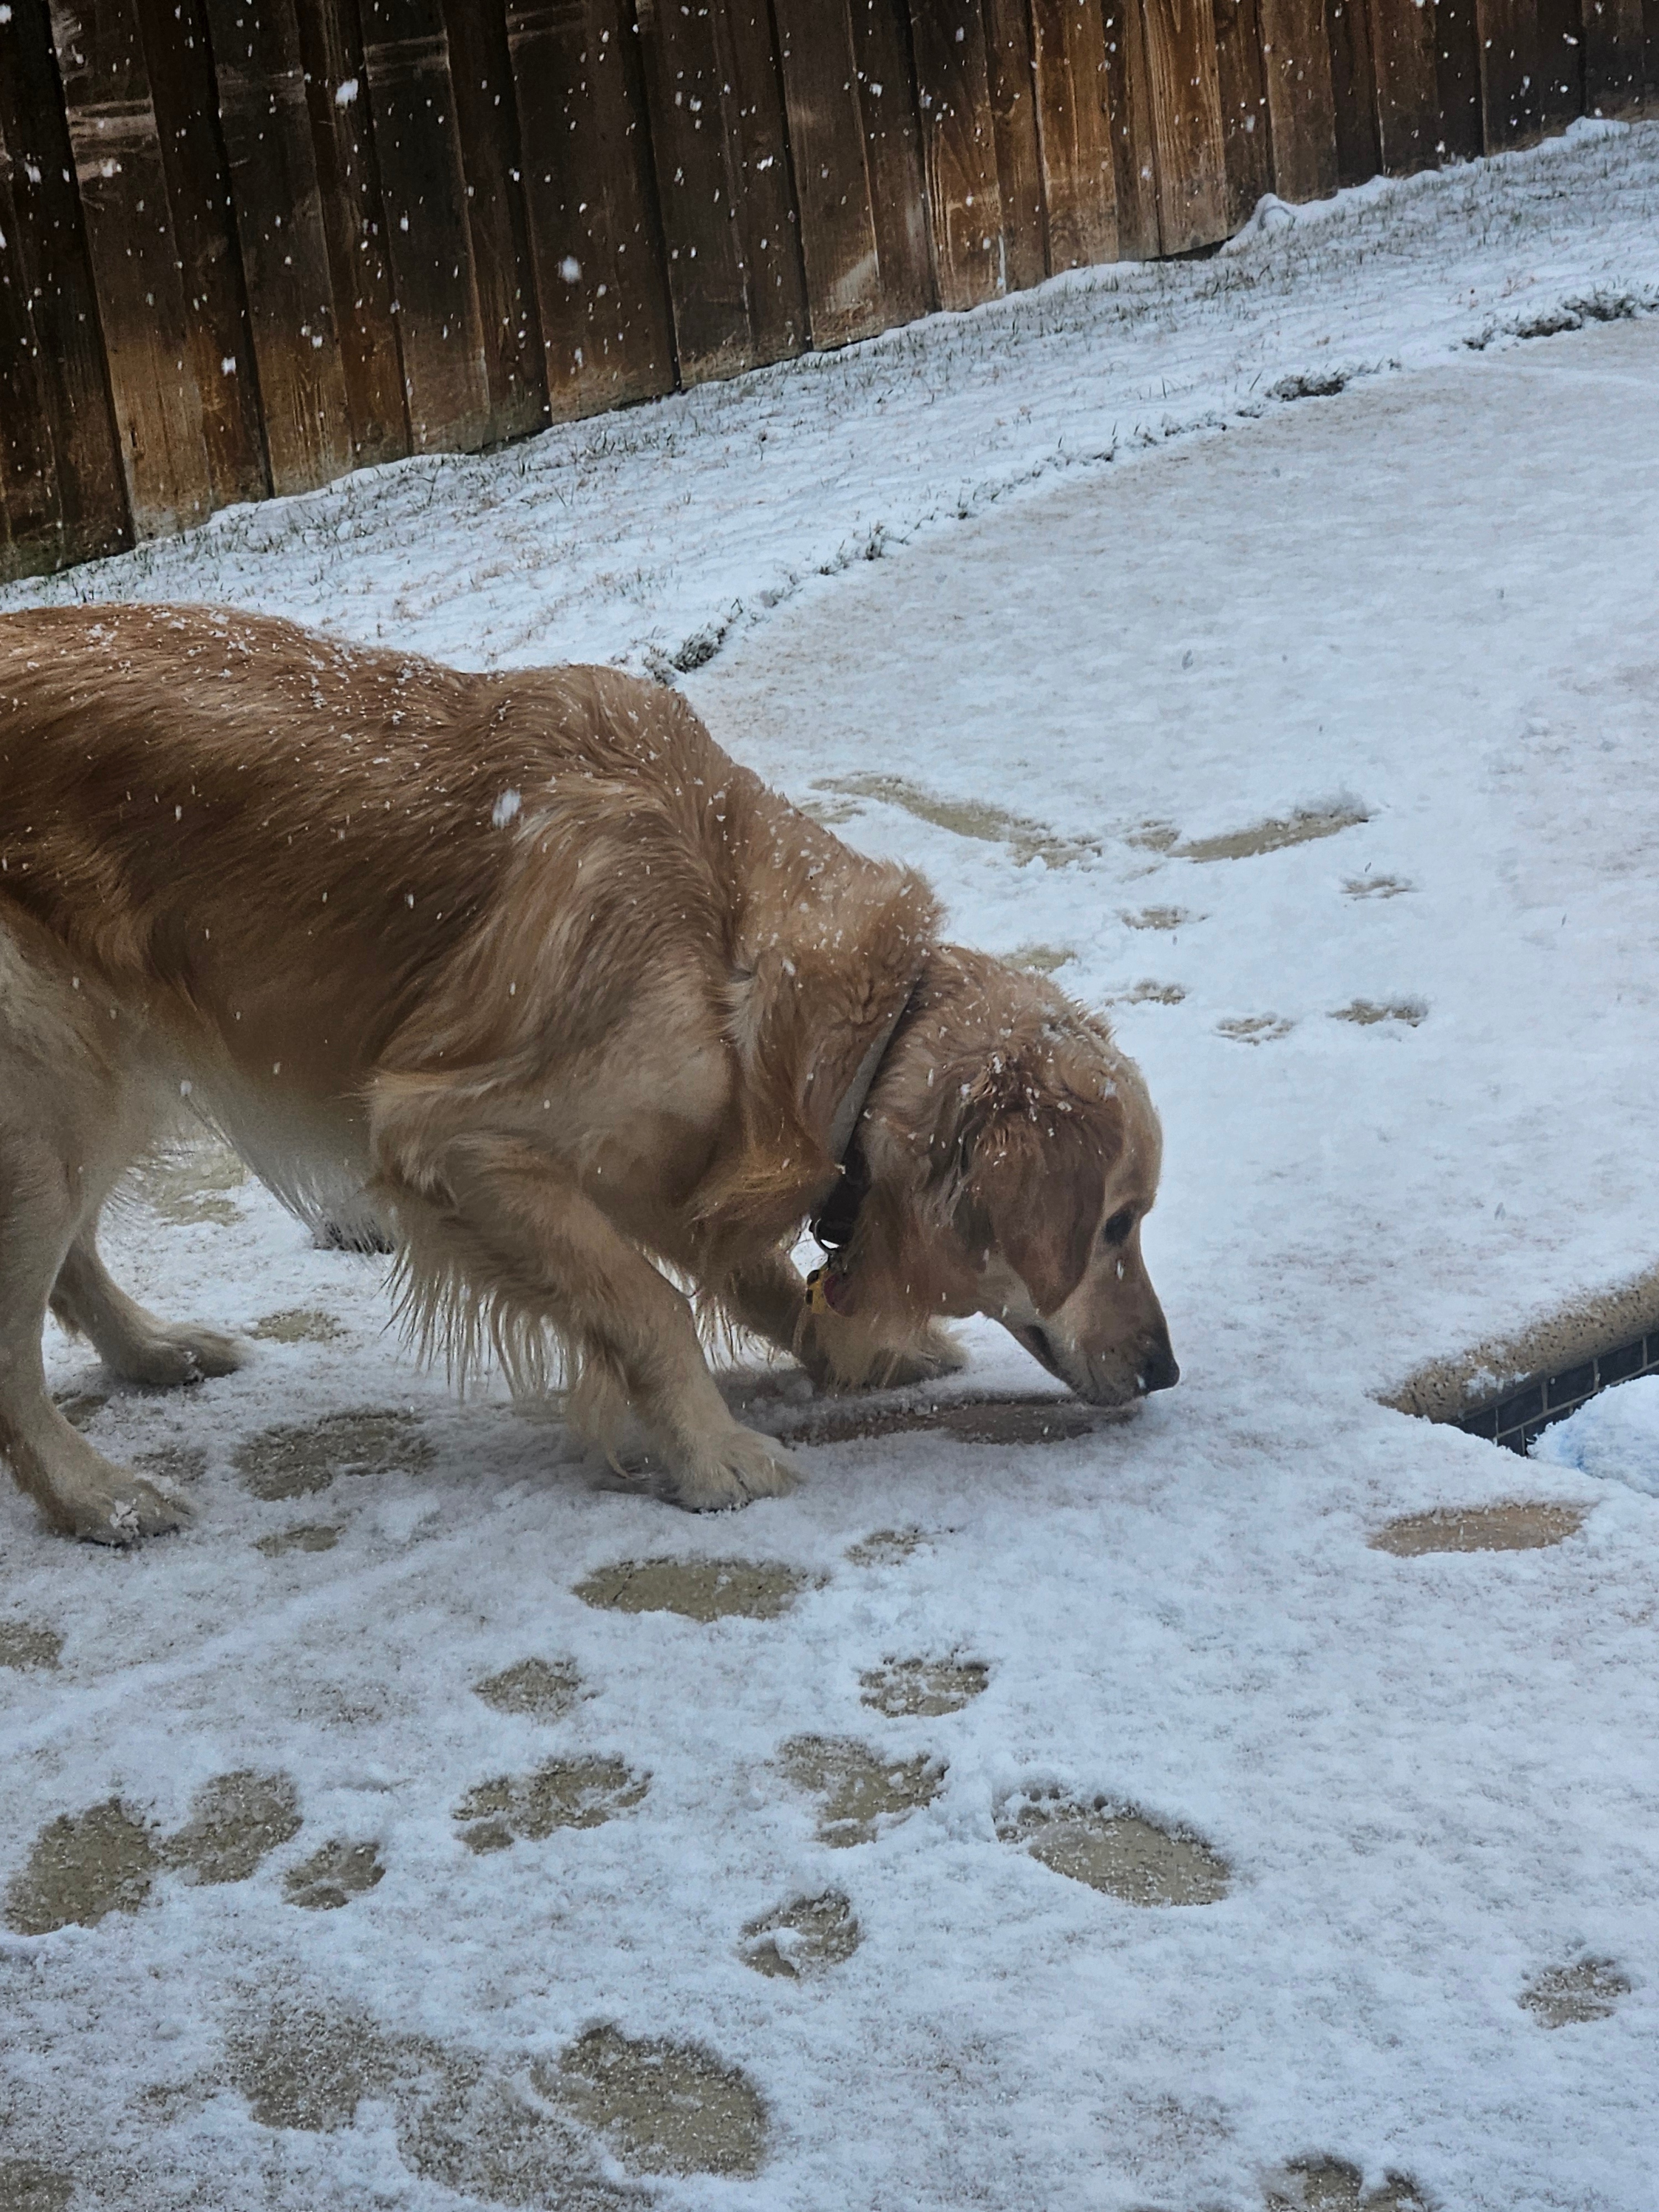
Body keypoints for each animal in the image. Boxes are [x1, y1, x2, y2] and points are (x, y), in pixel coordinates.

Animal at [0, 606, 1186, 1540]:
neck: (735, 952)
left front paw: (855, 1349)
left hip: (103, 1081)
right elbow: (650, 1306)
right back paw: (95, 1497)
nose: (1165, 1371)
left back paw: (154, 1354)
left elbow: (745, 1275)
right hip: (54, 1096)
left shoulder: (669, 1158)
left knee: (71, 1264)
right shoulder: (459, 1140)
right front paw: (715, 1454)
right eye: (1116, 1225)